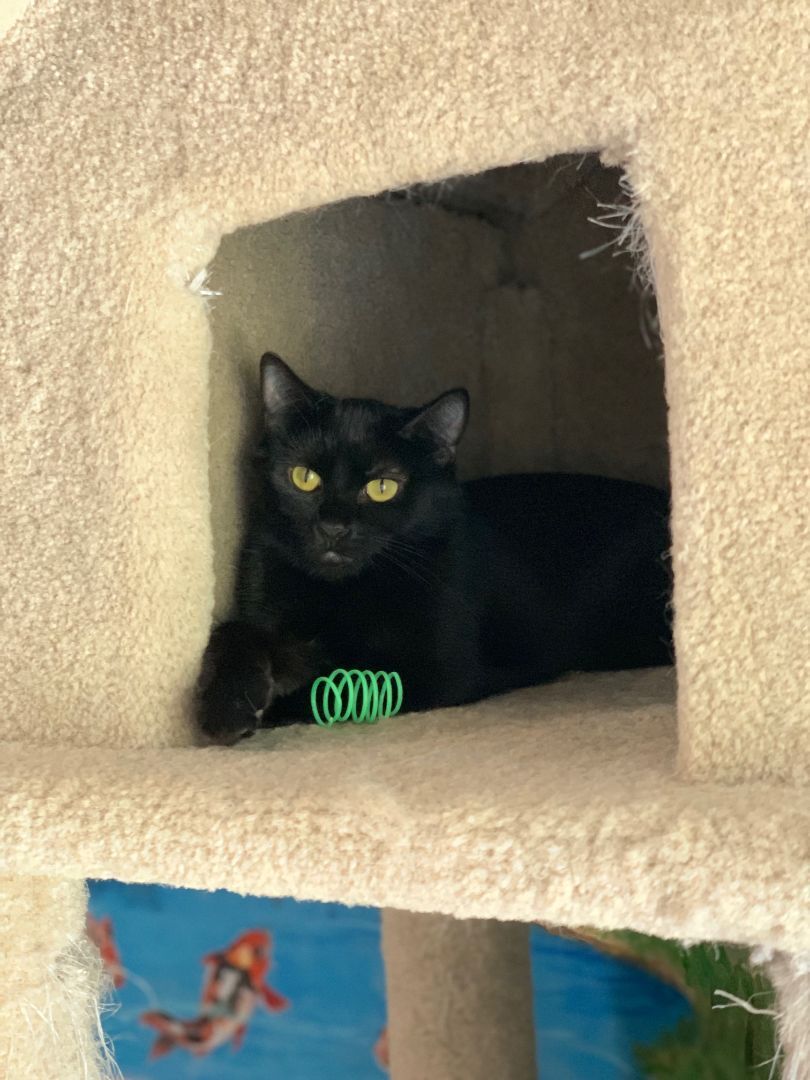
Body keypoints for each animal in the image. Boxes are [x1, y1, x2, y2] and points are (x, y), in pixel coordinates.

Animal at [196, 353, 672, 744]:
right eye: (304, 477)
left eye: (383, 487)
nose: (333, 527)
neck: (339, 592)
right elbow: (233, 629)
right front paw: (226, 699)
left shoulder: (432, 669)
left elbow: (330, 686)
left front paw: (263, 703)